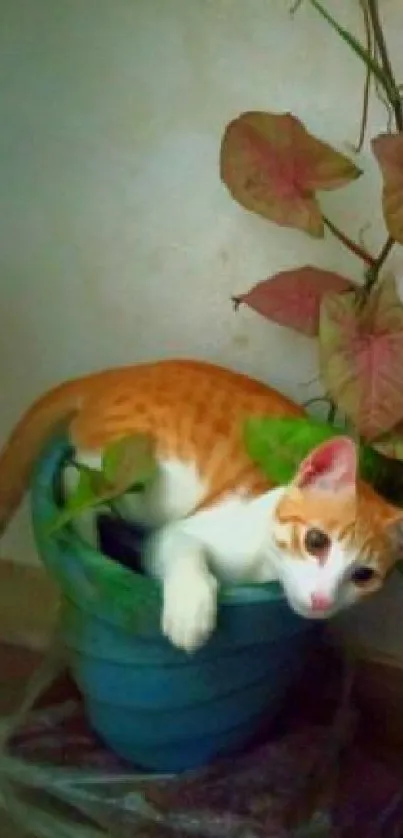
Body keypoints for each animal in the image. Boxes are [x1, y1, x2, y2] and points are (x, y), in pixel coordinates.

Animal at [0, 358, 400, 652]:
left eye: (363, 575)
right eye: (316, 541)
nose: (321, 601)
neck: (263, 568)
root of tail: (120, 373)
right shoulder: (180, 530)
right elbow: (181, 548)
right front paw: (190, 612)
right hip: (138, 477)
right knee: (74, 477)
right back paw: (88, 535)